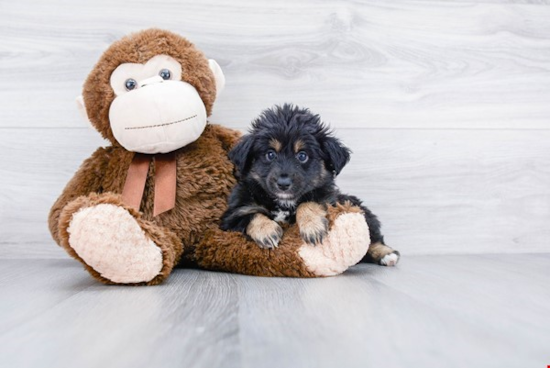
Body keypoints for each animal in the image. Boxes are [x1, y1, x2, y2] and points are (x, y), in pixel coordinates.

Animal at [222, 105, 404, 266]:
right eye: (270, 154)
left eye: (302, 156)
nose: (283, 184)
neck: (284, 203)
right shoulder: (232, 215)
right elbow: (251, 214)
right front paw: (267, 232)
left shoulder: (328, 199)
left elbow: (308, 203)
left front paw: (312, 228)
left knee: (372, 238)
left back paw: (387, 255)